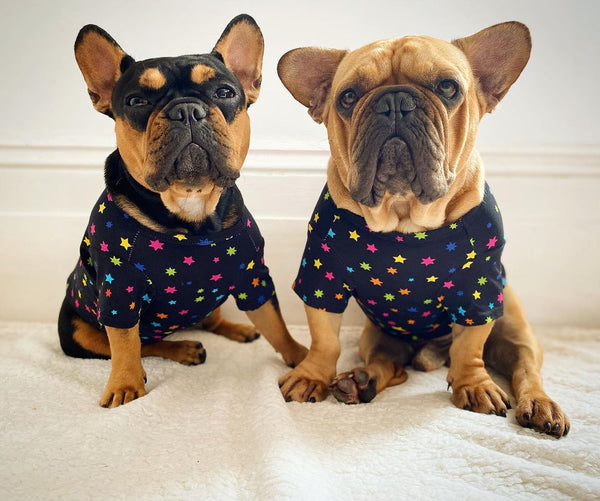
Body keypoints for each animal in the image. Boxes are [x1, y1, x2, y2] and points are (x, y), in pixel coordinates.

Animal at [58, 14, 308, 406]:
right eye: (136, 100)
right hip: (76, 330)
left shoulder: (253, 275)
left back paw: (232, 330)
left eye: (225, 93)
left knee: (209, 319)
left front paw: (300, 358)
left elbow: (274, 321)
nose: (187, 110)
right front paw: (124, 384)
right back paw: (184, 349)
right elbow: (124, 342)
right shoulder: (118, 289)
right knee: (143, 345)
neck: (190, 205)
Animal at [276, 21, 568, 436]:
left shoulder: (478, 293)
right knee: (390, 366)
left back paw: (541, 405)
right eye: (348, 97)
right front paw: (312, 375)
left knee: (525, 368)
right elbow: (324, 338)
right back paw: (360, 381)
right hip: (375, 336)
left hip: (514, 328)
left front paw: (474, 385)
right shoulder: (322, 278)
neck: (405, 214)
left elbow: (470, 347)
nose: (395, 102)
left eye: (448, 87)